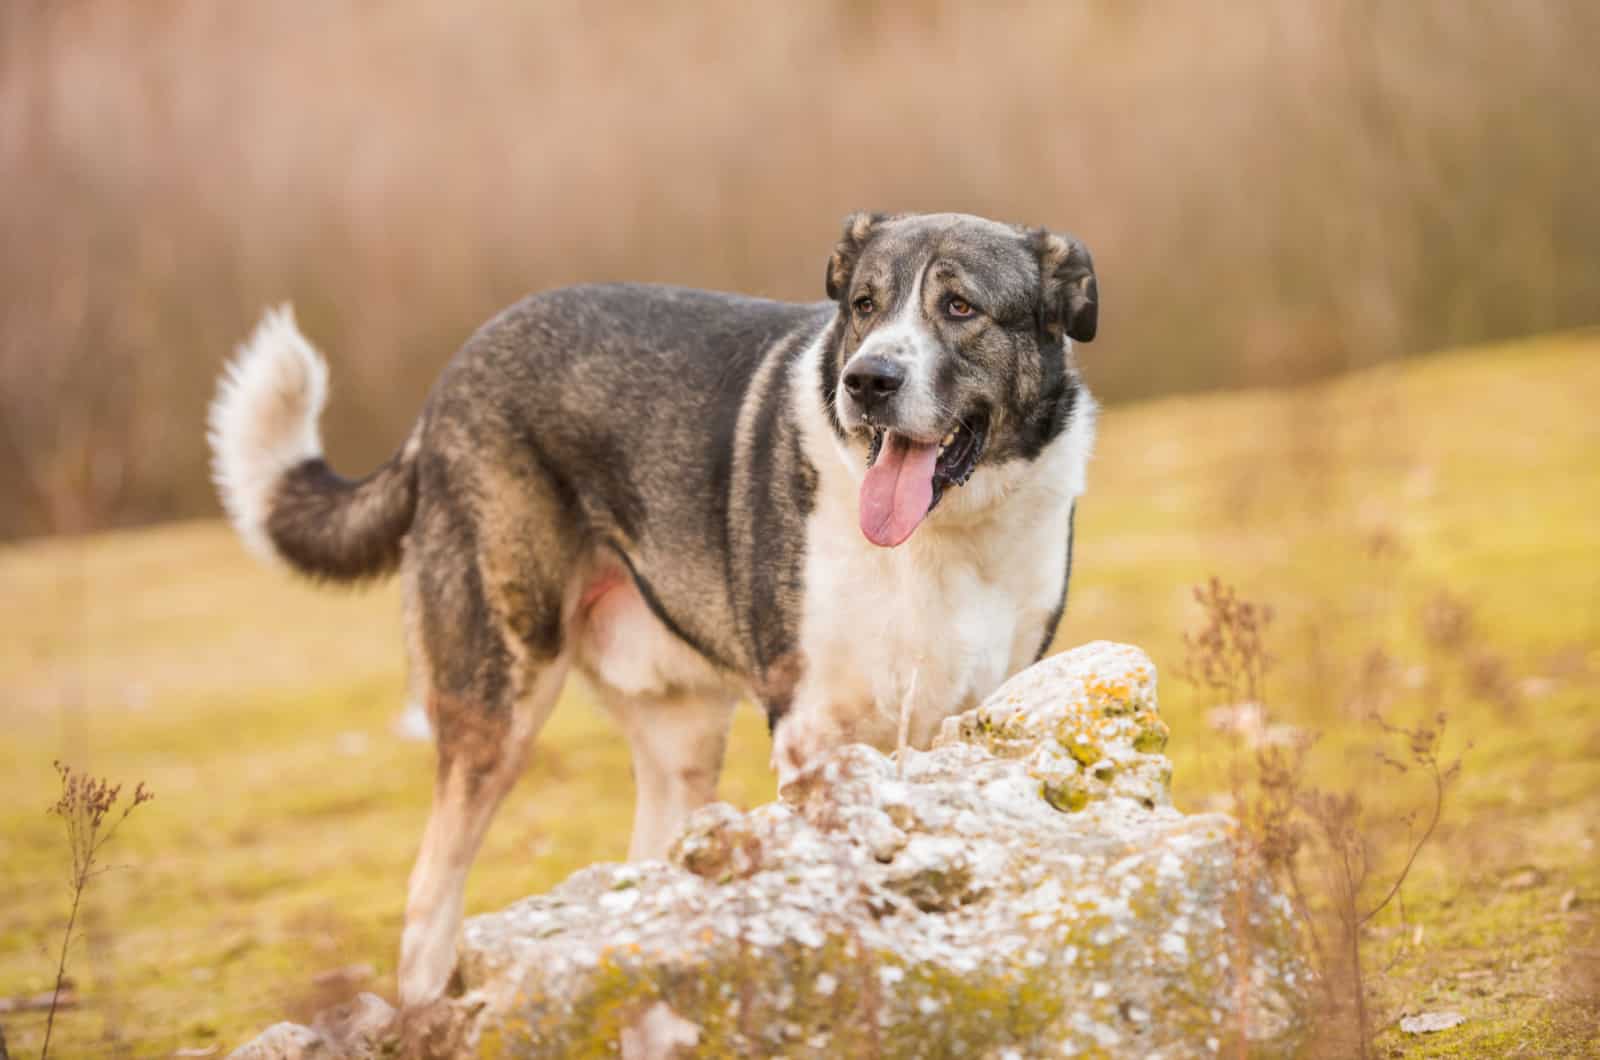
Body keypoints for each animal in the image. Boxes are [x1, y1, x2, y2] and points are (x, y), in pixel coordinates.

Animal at [206, 209, 1094, 1005]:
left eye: (960, 307)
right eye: (865, 306)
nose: (867, 381)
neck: (942, 536)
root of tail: (446, 384)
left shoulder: (977, 716)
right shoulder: (813, 732)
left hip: (680, 741)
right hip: (500, 697)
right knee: (431, 892)